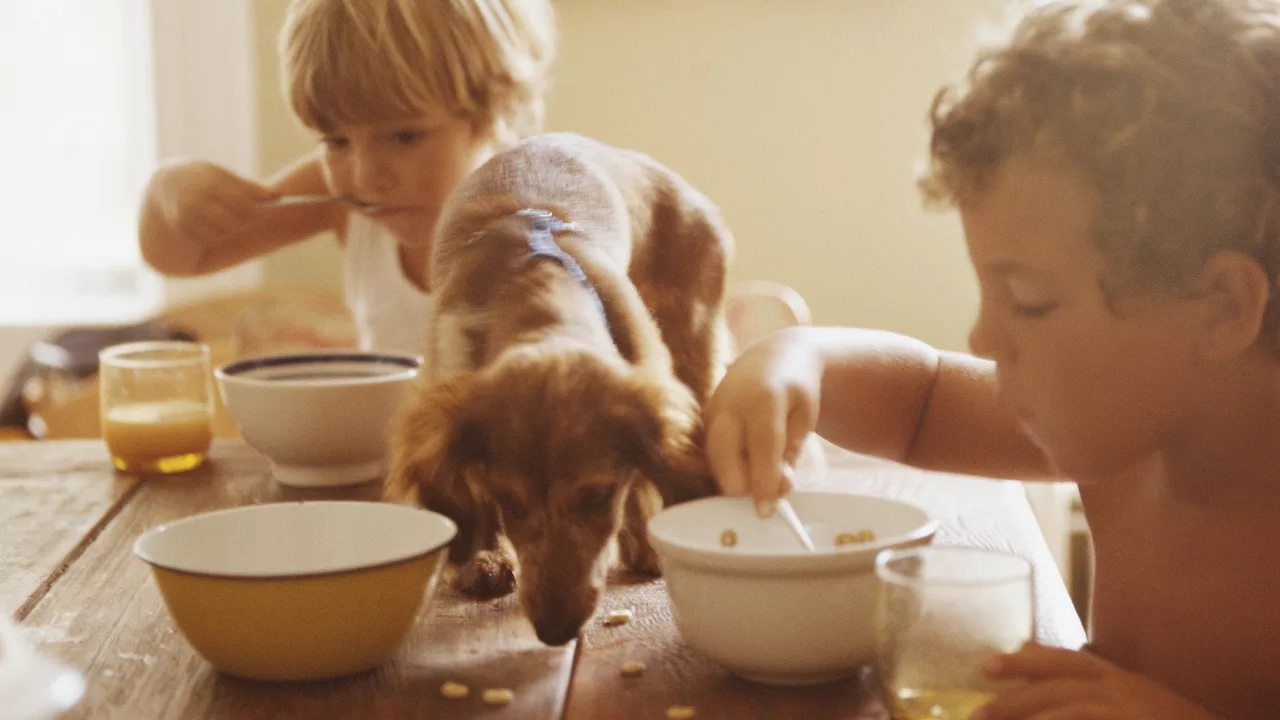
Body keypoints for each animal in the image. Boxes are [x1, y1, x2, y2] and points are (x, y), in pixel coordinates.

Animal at [384, 133, 733, 645]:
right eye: (508, 500)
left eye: (597, 495)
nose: (555, 630)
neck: (534, 282)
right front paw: (484, 558)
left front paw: (645, 538)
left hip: (694, 340)